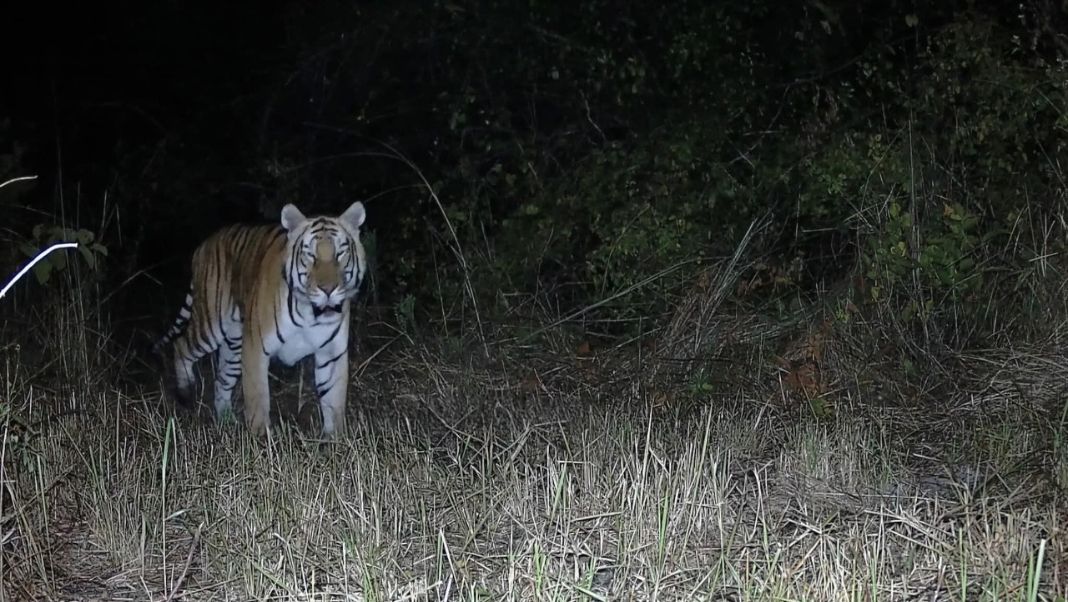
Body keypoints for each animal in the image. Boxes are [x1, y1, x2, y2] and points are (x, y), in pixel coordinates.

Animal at [153, 201, 368, 437]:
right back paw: (186, 392)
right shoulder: (256, 348)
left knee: (221, 380)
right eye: (310, 254)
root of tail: (204, 245)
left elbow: (334, 402)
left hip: (234, 344)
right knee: (181, 345)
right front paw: (261, 439)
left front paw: (335, 440)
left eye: (341, 253)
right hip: (211, 325)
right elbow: (258, 399)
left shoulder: (332, 354)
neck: (310, 313)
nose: (328, 289)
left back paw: (227, 422)